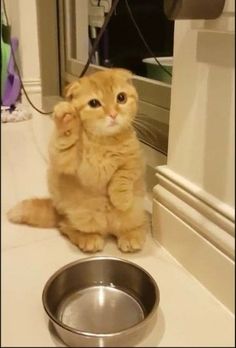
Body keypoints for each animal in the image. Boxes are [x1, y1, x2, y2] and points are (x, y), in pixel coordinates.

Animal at [6, 68, 148, 253]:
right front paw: (67, 121)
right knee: (66, 226)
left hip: (134, 213)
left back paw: (131, 236)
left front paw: (121, 199)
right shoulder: (66, 162)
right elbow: (65, 144)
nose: (113, 114)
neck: (104, 143)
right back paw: (89, 239)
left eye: (121, 98)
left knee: (131, 226)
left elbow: (124, 174)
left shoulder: (137, 159)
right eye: (94, 103)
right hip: (79, 216)